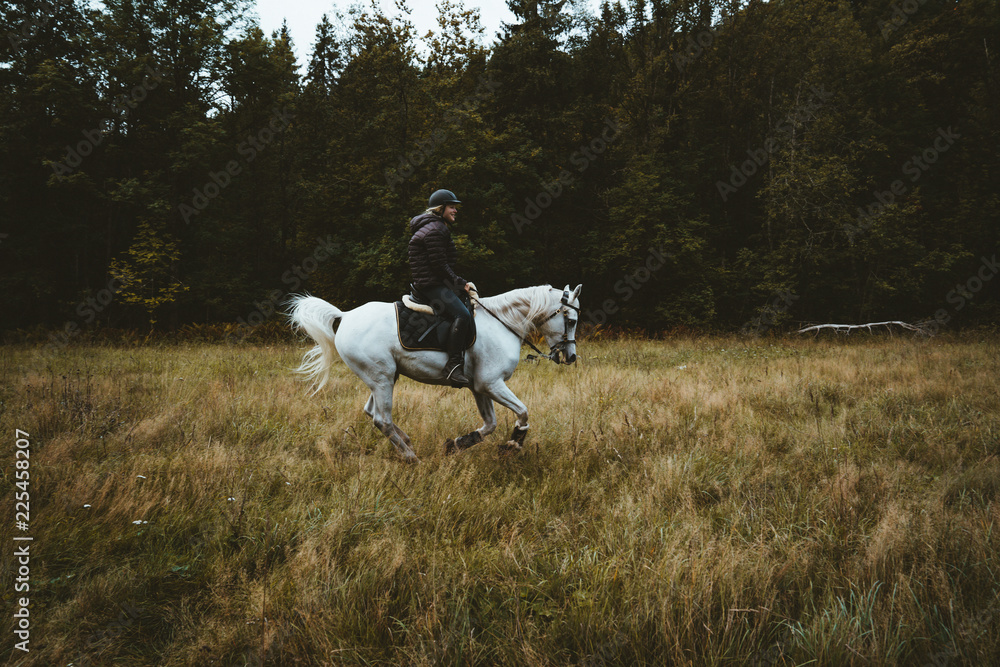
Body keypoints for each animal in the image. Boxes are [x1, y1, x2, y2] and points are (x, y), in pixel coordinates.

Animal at [286, 284, 584, 464]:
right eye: (571, 320)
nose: (571, 357)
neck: (503, 323)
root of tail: (346, 316)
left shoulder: (480, 388)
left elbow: (490, 424)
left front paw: (458, 443)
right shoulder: (492, 384)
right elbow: (522, 412)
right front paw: (513, 444)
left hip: (384, 378)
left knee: (371, 413)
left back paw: (406, 442)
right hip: (381, 378)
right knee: (382, 420)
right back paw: (411, 458)